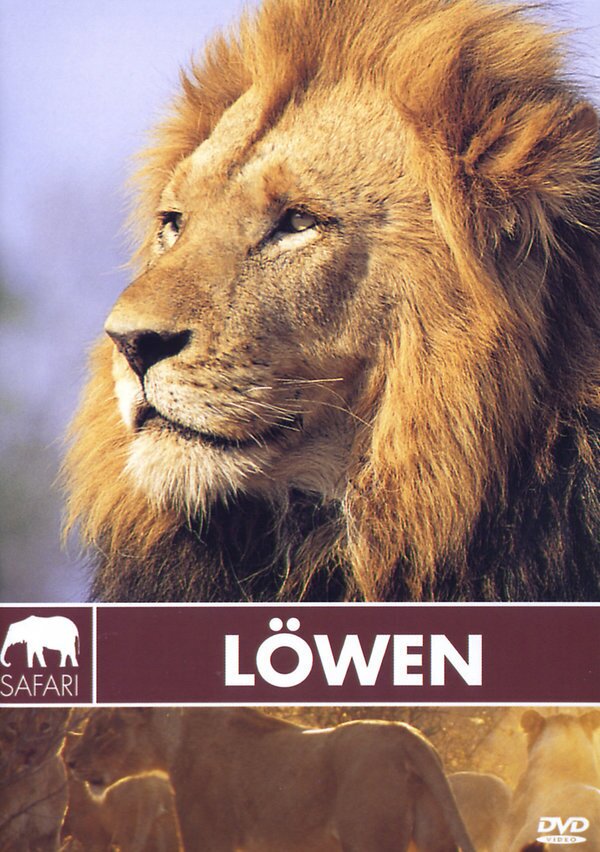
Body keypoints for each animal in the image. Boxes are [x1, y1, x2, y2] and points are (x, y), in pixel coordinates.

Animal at [66, 706, 475, 851]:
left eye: (102, 731)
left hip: (369, 839)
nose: (69, 761)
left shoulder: (210, 837)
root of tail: (406, 735)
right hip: (433, 837)